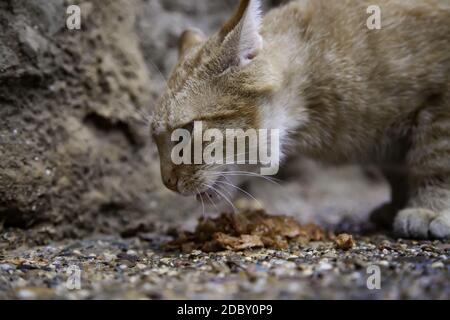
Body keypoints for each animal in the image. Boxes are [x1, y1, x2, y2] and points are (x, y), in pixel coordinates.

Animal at [152, 0, 450, 239]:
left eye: (186, 130)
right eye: (155, 140)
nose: (167, 183)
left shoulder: (440, 102)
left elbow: (433, 159)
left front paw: (430, 208)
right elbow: (396, 169)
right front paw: (399, 203)